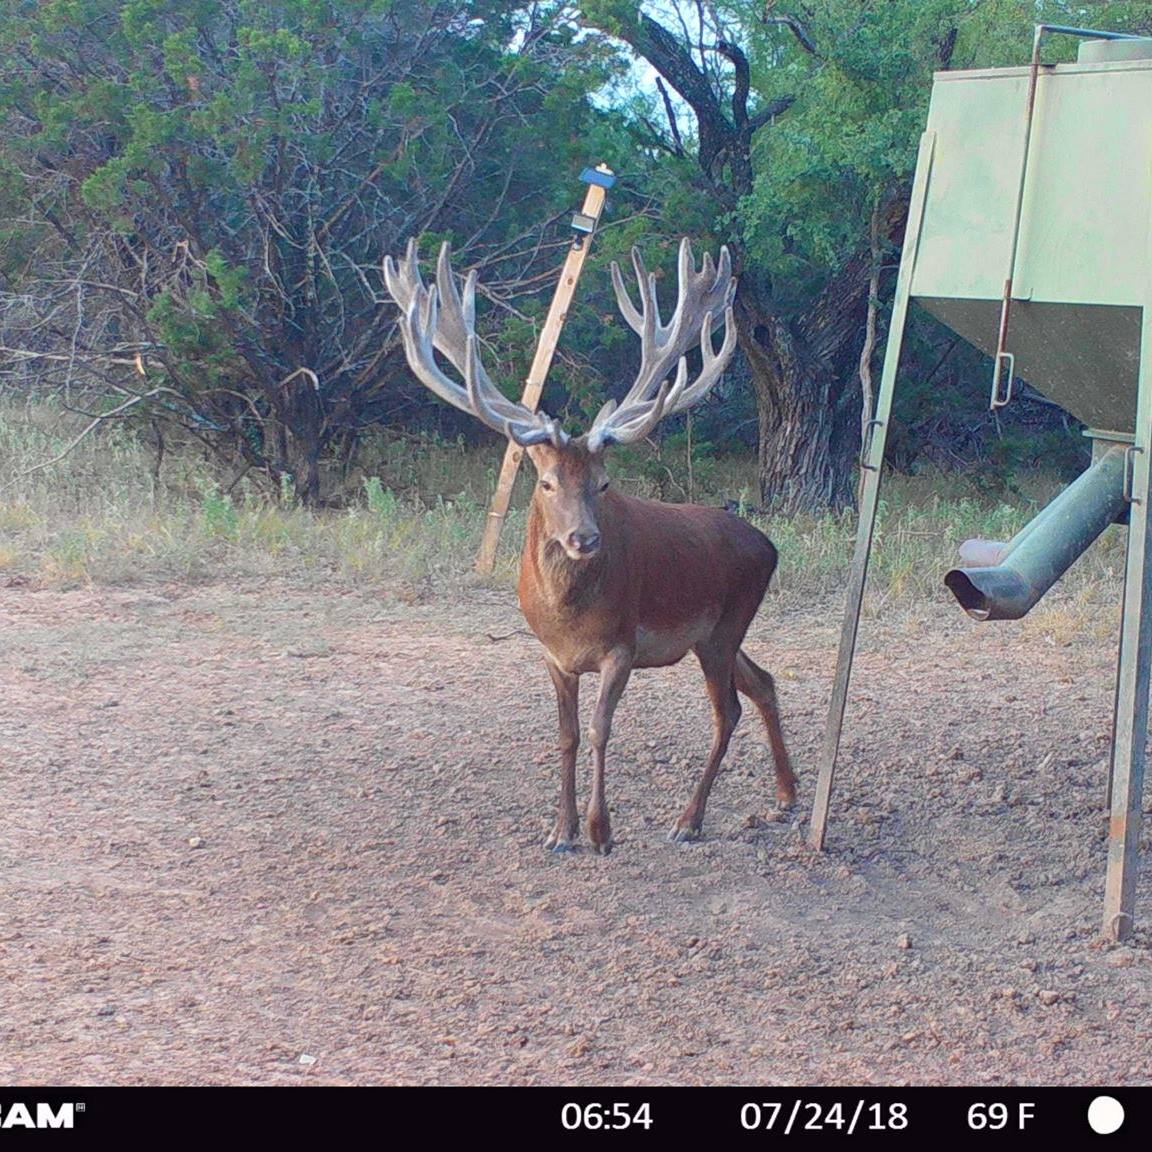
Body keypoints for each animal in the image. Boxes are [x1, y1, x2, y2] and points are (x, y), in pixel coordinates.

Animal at [383, 237, 796, 854]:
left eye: (603, 483)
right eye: (547, 482)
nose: (584, 538)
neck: (568, 617)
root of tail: (769, 545)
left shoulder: (621, 645)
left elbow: (602, 730)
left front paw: (601, 831)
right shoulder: (551, 655)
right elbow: (568, 735)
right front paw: (561, 829)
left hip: (727, 625)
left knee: (728, 711)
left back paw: (689, 819)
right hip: (714, 634)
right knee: (763, 682)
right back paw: (786, 795)